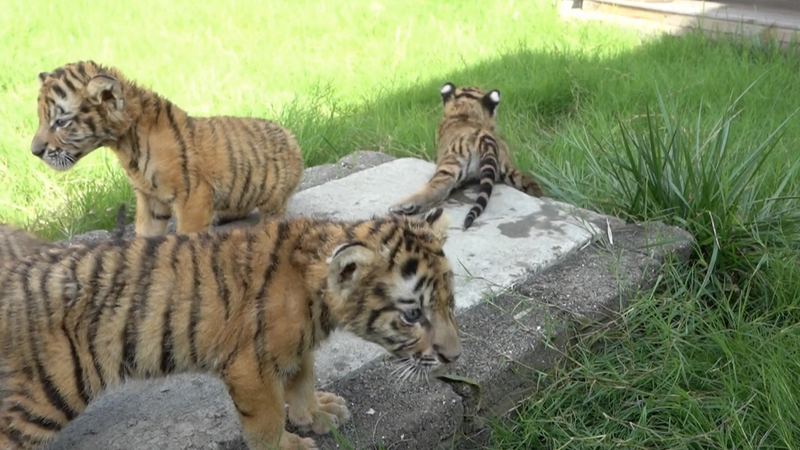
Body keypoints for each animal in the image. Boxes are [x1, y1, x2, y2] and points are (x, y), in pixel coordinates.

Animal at [0, 208, 461, 450]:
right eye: (413, 315)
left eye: (449, 302)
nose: (455, 357)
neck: (317, 295)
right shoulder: (250, 366)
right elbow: (267, 419)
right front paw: (288, 445)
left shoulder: (295, 348)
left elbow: (302, 381)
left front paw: (317, 414)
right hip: (46, 393)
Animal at [31, 60, 304, 237]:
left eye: (60, 122)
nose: (35, 152)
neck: (125, 145)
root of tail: (292, 137)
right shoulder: (149, 198)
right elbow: (145, 233)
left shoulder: (192, 197)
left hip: (271, 192)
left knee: (275, 214)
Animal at [389, 82, 543, 230]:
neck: (464, 113)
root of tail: (485, 138)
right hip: (508, 169)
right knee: (530, 184)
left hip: (451, 164)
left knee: (437, 189)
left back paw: (403, 206)